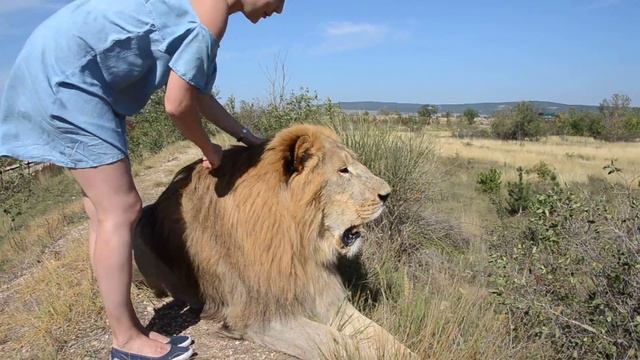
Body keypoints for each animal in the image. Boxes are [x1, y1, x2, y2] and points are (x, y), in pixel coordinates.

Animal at [132, 124, 418, 360]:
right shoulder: (262, 317)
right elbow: (341, 343)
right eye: (343, 170)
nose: (388, 194)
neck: (298, 241)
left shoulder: (324, 297)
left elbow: (386, 338)